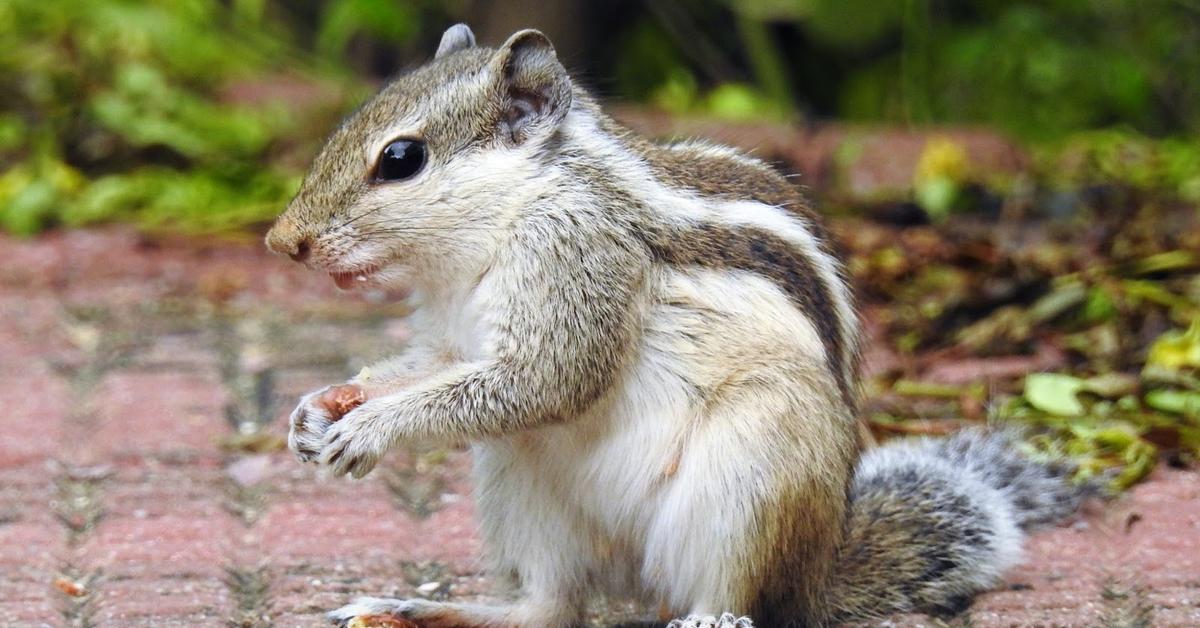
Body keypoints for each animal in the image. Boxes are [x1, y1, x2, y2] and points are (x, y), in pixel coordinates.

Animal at [267, 23, 1094, 628]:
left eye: (401, 158)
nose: (283, 242)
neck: (490, 233)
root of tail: (819, 571)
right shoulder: (448, 333)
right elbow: (430, 367)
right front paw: (320, 406)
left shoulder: (578, 254)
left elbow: (545, 380)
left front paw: (370, 428)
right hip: (516, 482)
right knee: (550, 609)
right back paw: (422, 610)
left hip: (756, 471)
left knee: (738, 597)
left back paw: (711, 619)